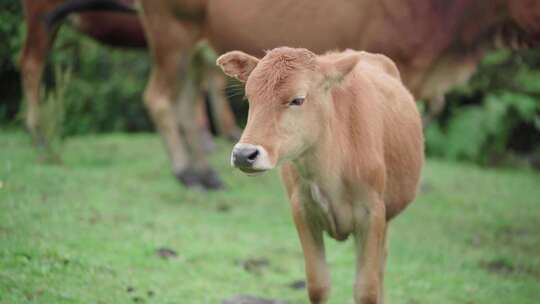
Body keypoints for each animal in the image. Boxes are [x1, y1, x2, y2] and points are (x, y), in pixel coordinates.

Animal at [136, 0, 540, 190]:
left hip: (198, 47)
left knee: (186, 104)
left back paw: (205, 173)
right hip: (172, 35)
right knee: (159, 99)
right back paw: (186, 172)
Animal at [217, 46, 424, 302]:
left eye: (298, 99)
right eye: (250, 97)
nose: (244, 154)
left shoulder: (373, 214)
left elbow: (366, 289)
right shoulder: (303, 211)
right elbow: (318, 285)